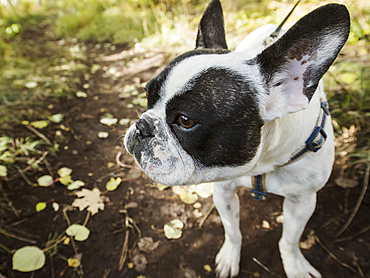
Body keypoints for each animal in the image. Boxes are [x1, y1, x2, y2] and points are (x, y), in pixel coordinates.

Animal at [124, 1, 350, 276]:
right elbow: (232, 231)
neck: (262, 163)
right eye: (148, 96)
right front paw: (230, 257)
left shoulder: (303, 201)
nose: (142, 126)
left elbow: (290, 239)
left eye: (185, 121)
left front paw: (295, 265)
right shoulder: (223, 190)